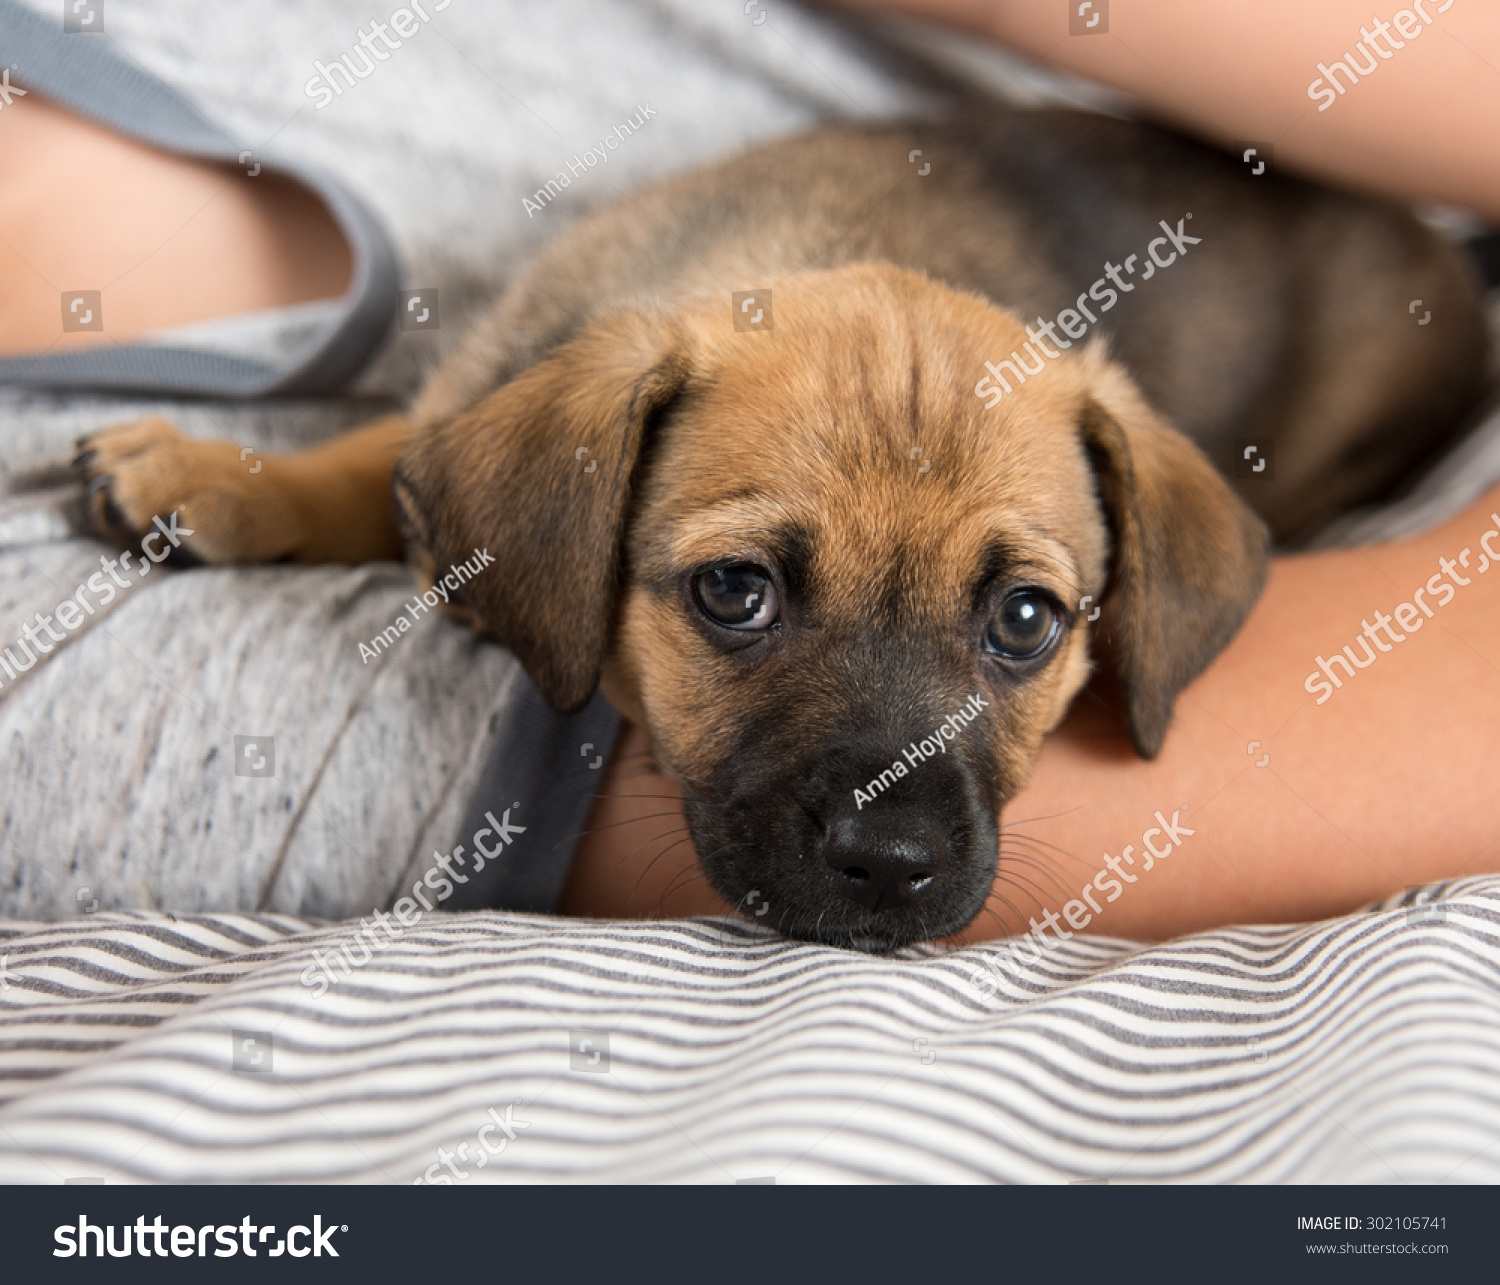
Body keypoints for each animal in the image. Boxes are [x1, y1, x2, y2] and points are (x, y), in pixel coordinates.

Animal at [73, 110, 1488, 947]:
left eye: (1028, 620)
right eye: (734, 594)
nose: (892, 866)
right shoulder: (480, 383)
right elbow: (379, 461)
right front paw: (212, 473)